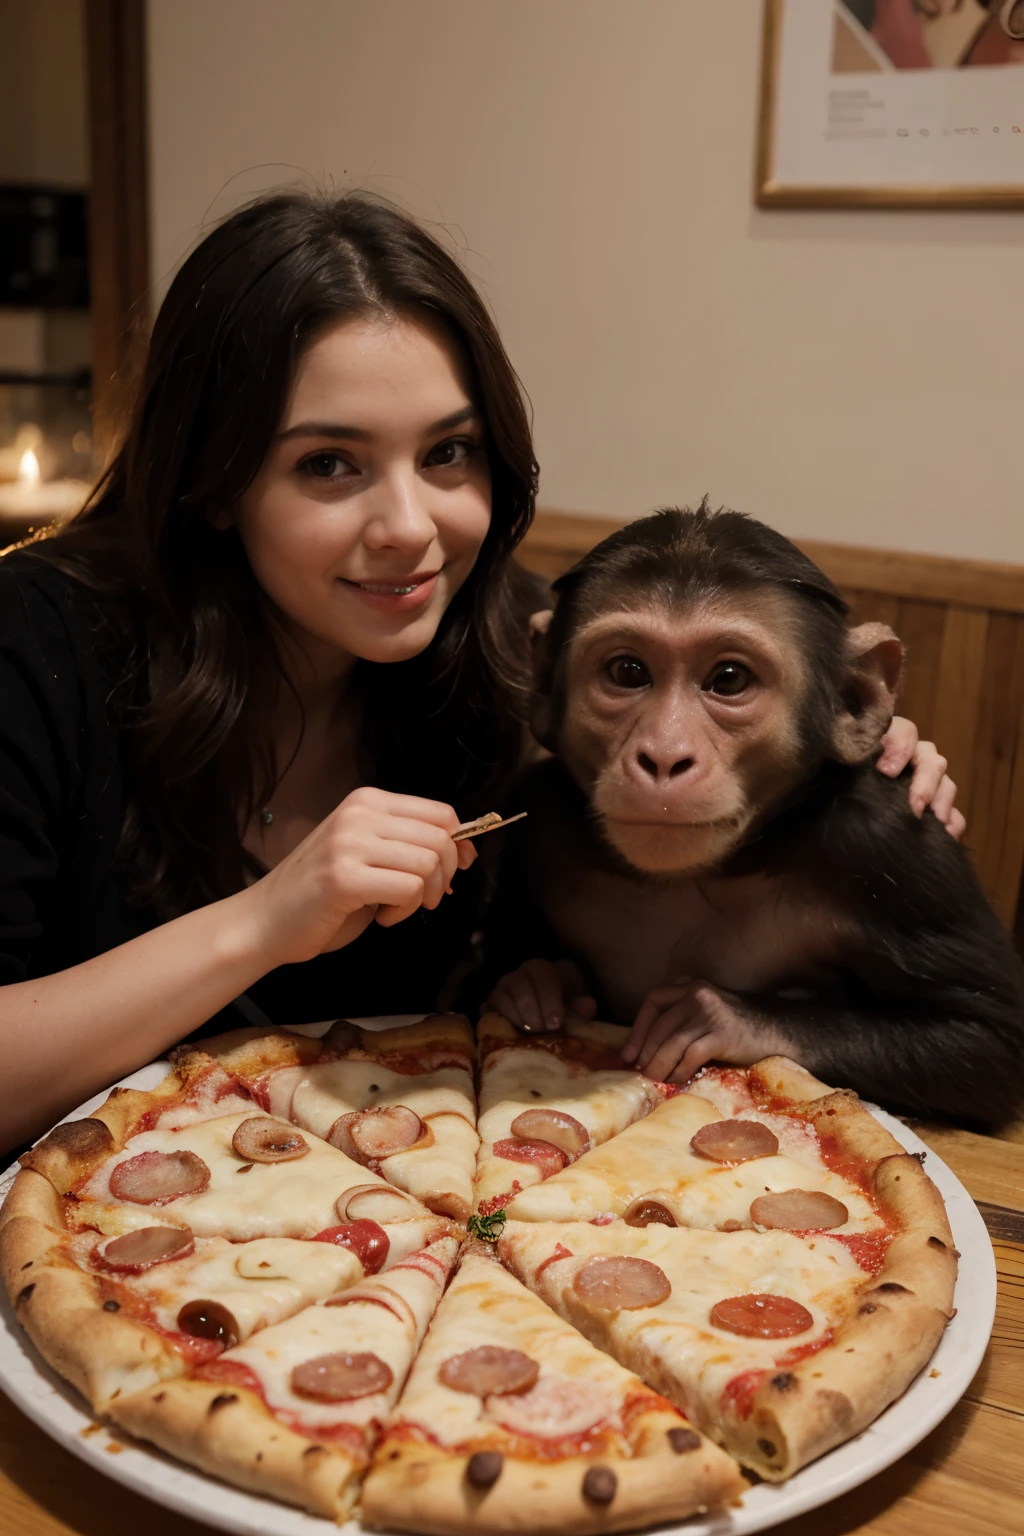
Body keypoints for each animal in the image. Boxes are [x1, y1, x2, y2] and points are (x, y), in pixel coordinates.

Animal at [485, 509, 1024, 1124]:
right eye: (627, 671)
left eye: (729, 679)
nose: (664, 755)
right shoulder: (541, 815)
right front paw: (539, 984)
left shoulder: (895, 845)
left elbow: (986, 1037)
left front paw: (714, 1018)